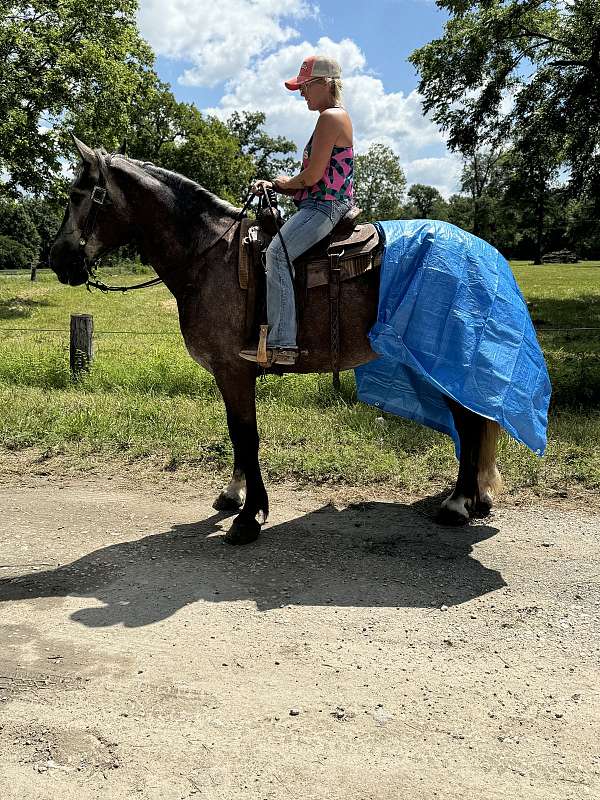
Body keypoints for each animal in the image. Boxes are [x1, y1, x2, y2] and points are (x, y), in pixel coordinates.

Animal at [50, 141, 502, 548]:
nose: (57, 259)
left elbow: (246, 435)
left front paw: (249, 517)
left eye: (76, 195)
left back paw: (458, 504)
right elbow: (236, 435)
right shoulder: (229, 374)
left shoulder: (234, 370)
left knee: (469, 422)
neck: (209, 257)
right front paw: (233, 495)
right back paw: (476, 499)